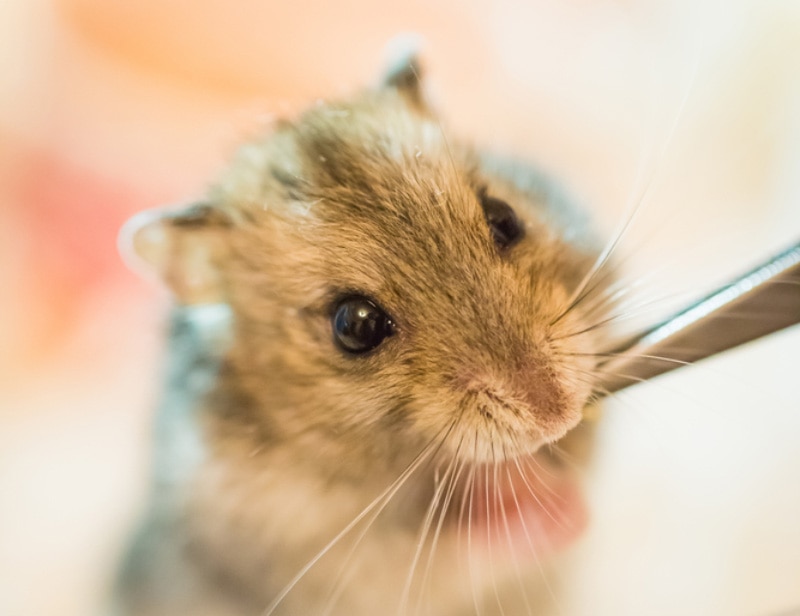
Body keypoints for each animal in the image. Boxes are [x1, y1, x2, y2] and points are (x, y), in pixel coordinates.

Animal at [114, 55, 613, 616]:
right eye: (354, 325)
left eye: (504, 218)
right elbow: (459, 552)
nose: (560, 416)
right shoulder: (329, 560)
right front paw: (558, 505)